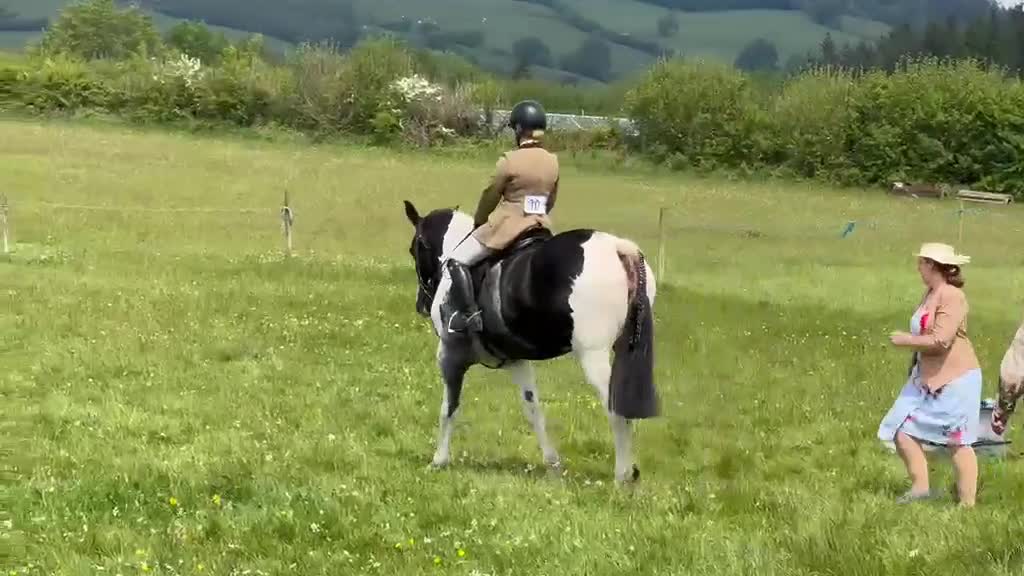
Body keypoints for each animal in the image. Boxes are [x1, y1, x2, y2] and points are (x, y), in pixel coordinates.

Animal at [403, 200, 659, 483]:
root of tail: (618, 248)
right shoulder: (516, 361)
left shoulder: (449, 356)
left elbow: (449, 407)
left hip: (593, 356)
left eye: (414, 248)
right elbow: (532, 407)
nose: (421, 305)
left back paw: (622, 475)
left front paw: (438, 460)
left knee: (616, 410)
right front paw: (552, 463)